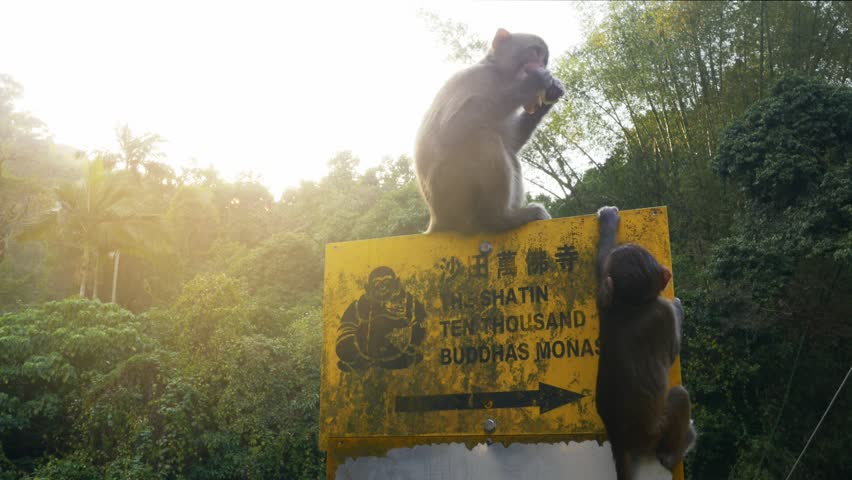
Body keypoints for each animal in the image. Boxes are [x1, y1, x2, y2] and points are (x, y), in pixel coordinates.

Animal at [414, 28, 564, 234]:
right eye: (535, 52)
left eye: (544, 59)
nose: (541, 65)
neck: (500, 77)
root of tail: (436, 218)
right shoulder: (474, 77)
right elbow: (450, 129)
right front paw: (533, 82)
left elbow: (512, 142)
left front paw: (552, 91)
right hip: (452, 192)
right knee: (483, 138)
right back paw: (499, 218)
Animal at [594, 206, 696, 480]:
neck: (627, 304)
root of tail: (619, 441)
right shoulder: (660, 313)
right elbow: (671, 351)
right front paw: (679, 307)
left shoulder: (605, 298)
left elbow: (602, 264)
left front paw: (608, 220)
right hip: (656, 433)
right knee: (679, 396)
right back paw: (674, 452)